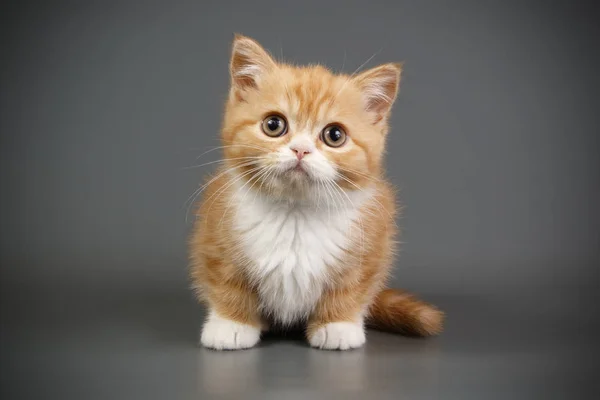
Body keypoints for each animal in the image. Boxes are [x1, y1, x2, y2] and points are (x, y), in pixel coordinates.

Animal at [190, 36, 442, 352]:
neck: (296, 212)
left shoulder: (372, 243)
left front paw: (337, 325)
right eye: (273, 125)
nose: (301, 149)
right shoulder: (214, 234)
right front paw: (232, 324)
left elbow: (351, 286)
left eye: (334, 135)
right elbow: (226, 281)